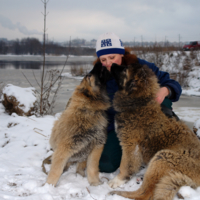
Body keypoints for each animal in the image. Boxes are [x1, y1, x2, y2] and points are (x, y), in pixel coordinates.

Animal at [108, 62, 200, 200]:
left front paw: (118, 180)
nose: (112, 64)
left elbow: (125, 165)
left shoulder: (130, 144)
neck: (139, 103)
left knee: (145, 193)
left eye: (125, 69)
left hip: (163, 157)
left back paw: (119, 193)